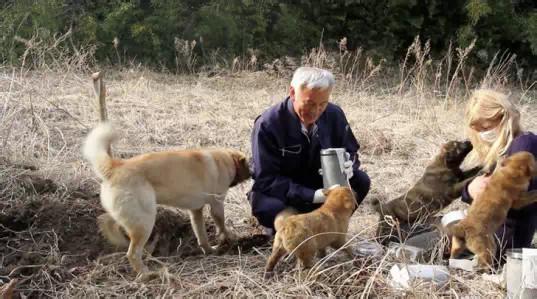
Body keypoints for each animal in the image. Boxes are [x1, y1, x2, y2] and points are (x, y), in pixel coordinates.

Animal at [84, 123, 251, 278]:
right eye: (248, 165)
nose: (253, 173)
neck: (226, 159)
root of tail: (115, 167)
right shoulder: (217, 204)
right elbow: (221, 225)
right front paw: (229, 237)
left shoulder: (196, 211)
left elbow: (201, 234)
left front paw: (209, 250)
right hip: (145, 221)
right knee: (132, 253)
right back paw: (146, 274)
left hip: (129, 214)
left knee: (105, 220)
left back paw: (118, 240)